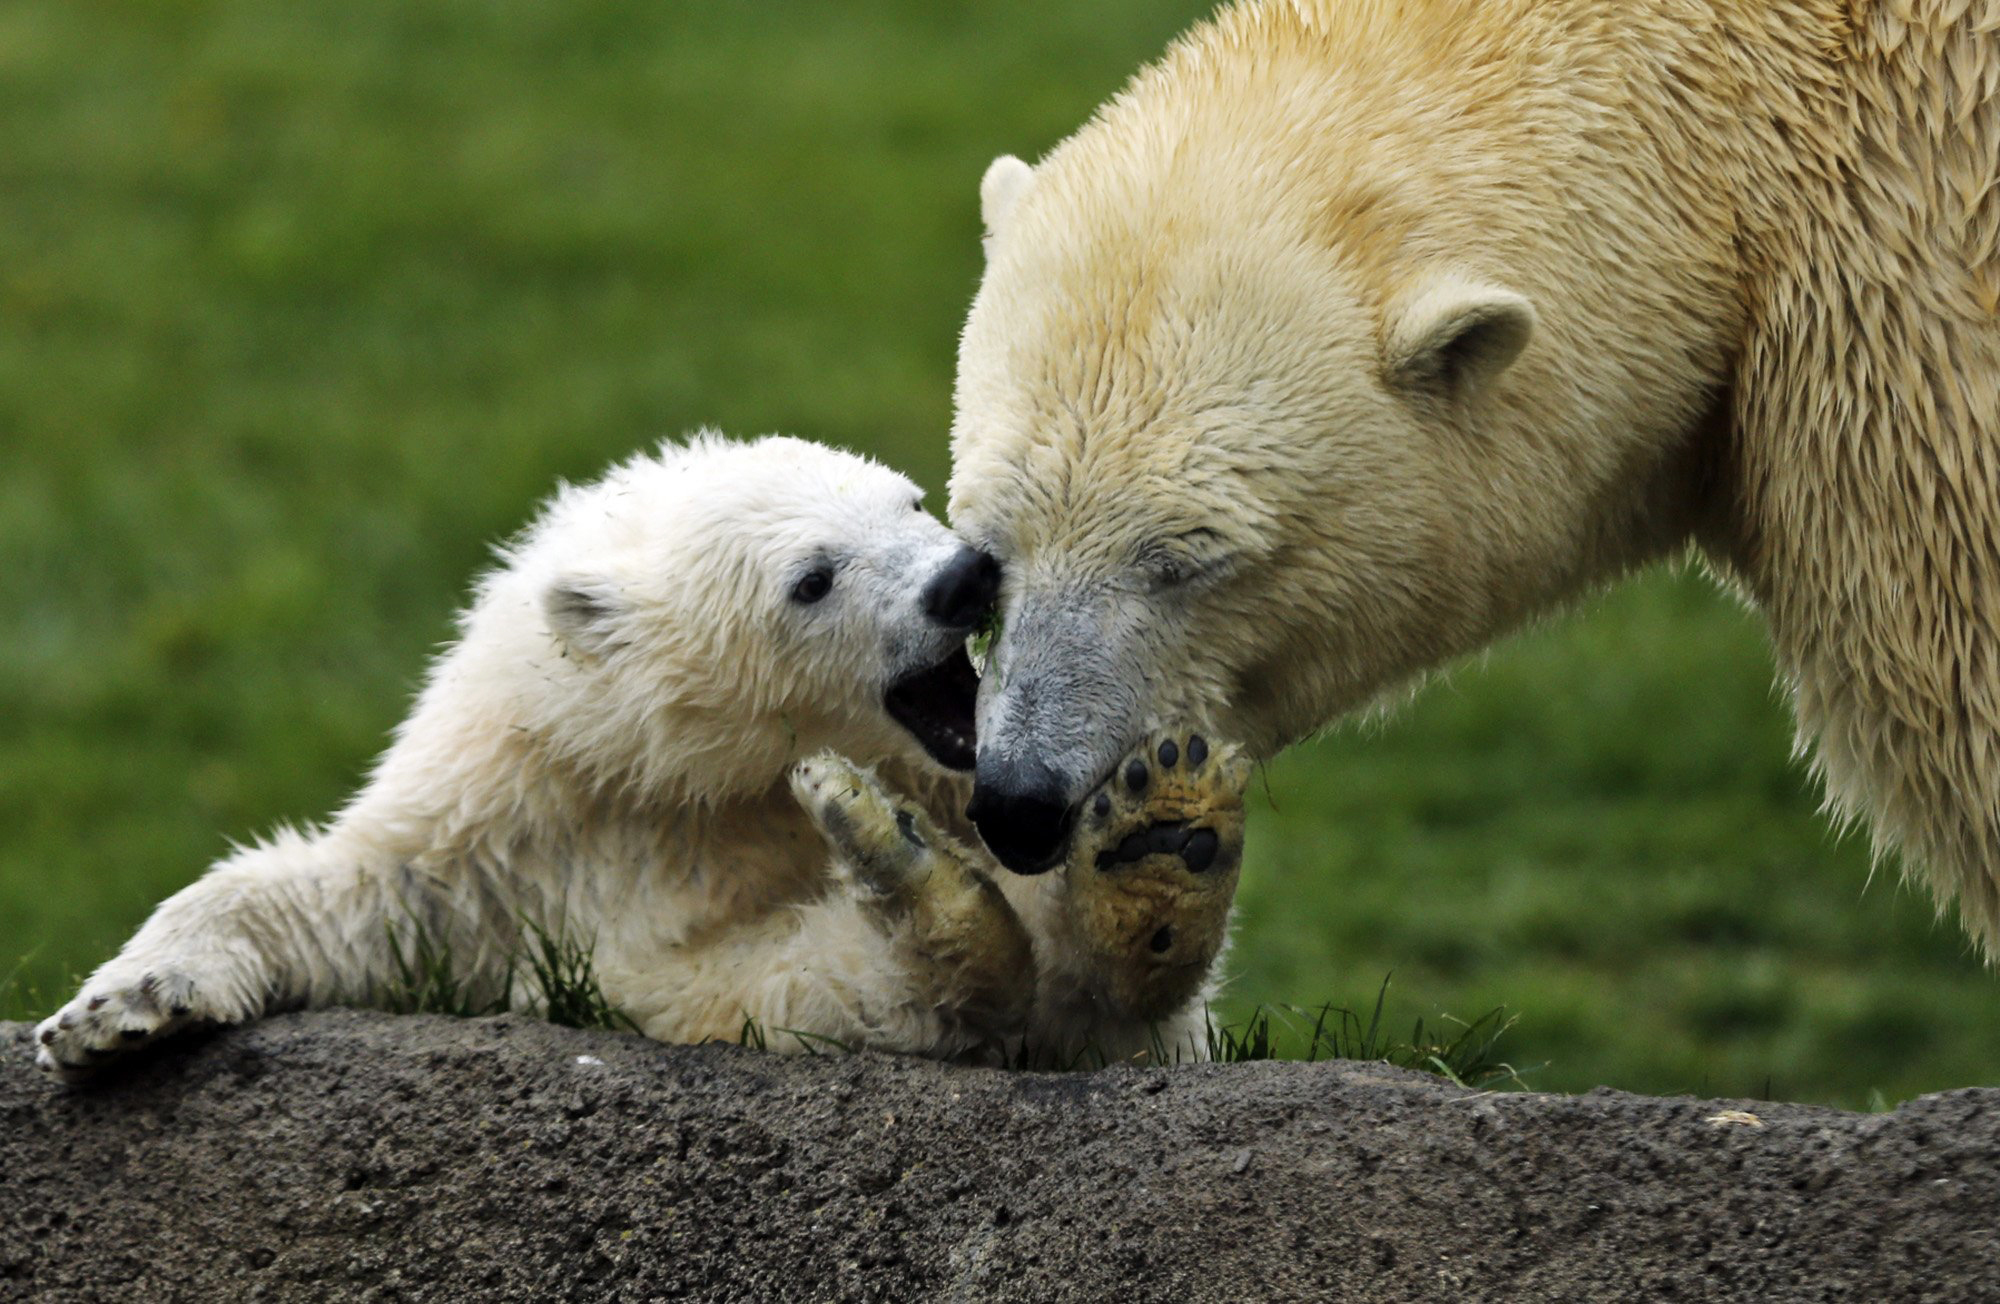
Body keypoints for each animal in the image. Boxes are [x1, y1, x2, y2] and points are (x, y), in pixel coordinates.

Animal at [35, 434, 1252, 1080]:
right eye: (812, 576)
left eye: (910, 500)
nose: (965, 576)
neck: (706, 785)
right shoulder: (520, 813)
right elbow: (363, 894)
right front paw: (112, 1012)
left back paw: (1156, 841)